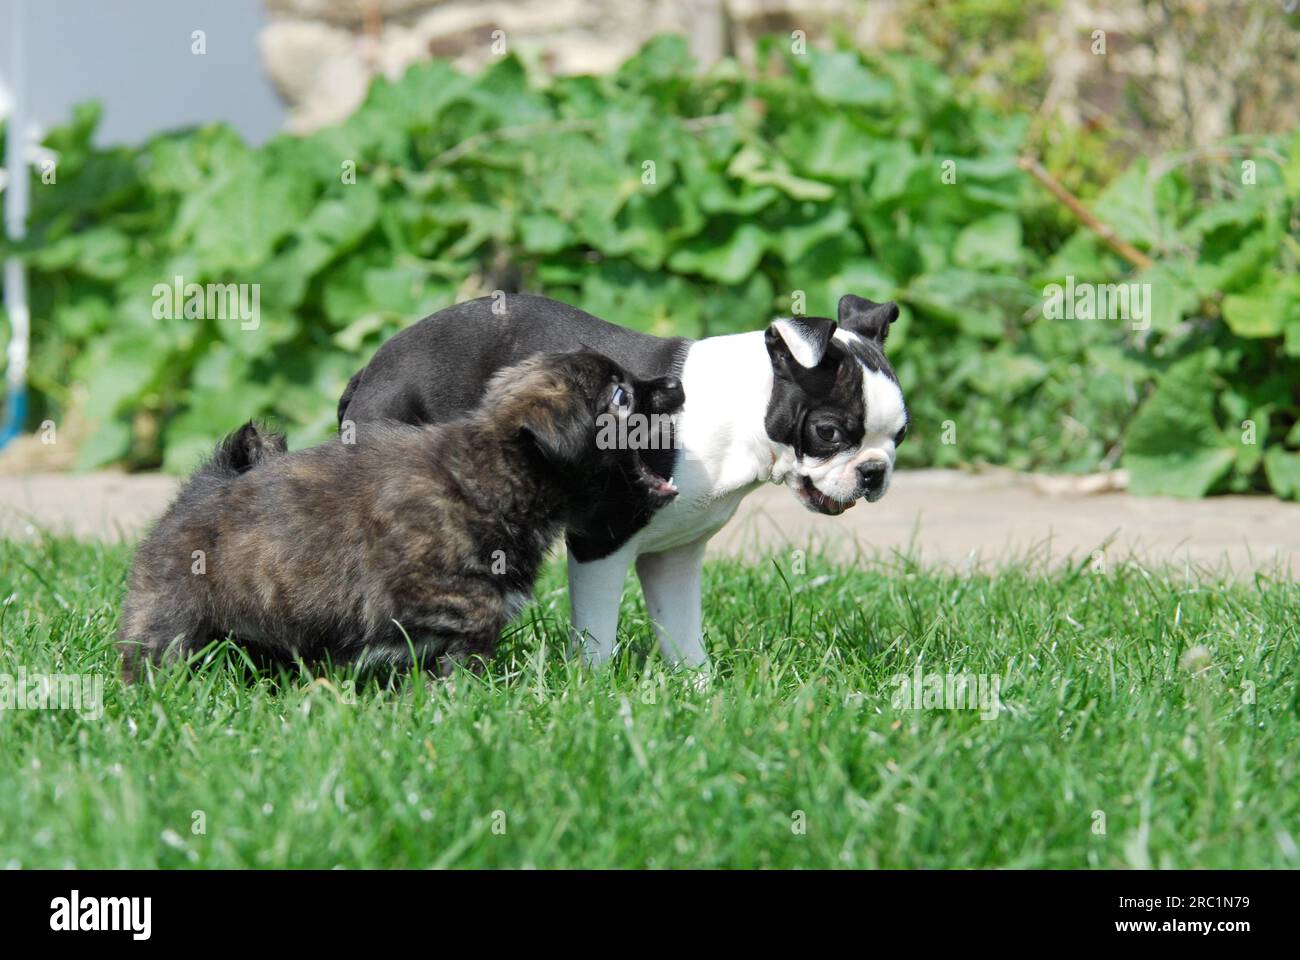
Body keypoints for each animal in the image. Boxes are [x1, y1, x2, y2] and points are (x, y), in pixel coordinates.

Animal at [120, 351, 686, 681]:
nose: (675, 387)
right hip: (169, 616)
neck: (493, 471)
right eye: (620, 395)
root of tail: (198, 493)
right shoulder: (404, 582)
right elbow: (481, 605)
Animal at [335, 291, 904, 666]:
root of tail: (368, 371)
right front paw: (593, 691)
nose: (874, 472)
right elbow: (596, 634)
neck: (740, 419)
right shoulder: (601, 541)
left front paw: (700, 691)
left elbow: (681, 632)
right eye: (829, 432)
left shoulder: (674, 554)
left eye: (901, 434)